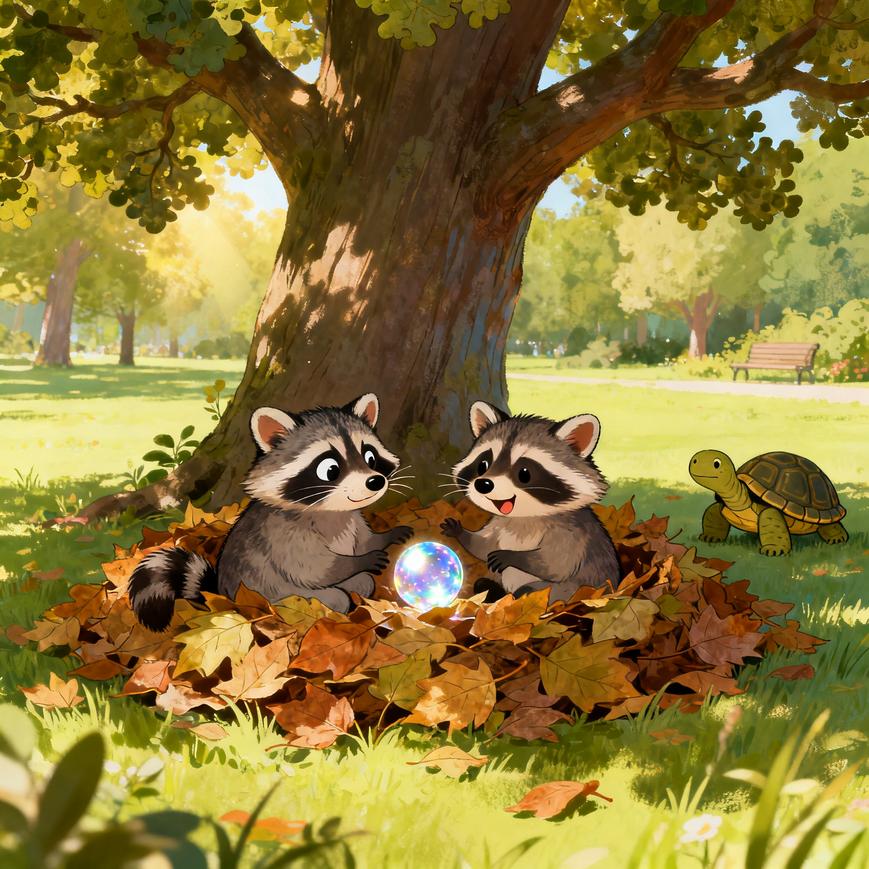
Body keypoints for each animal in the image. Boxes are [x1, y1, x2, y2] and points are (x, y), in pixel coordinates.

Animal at [129, 394, 412, 631]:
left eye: (370, 457)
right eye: (331, 469)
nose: (375, 482)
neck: (333, 510)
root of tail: (225, 592)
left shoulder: (354, 520)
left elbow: (363, 541)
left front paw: (384, 537)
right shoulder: (286, 535)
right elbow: (315, 568)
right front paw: (360, 560)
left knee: (364, 582)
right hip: (276, 594)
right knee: (333, 597)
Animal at [440, 401, 619, 603]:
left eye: (524, 473)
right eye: (483, 465)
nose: (483, 484)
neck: (523, 517)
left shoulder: (571, 533)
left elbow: (556, 564)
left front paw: (513, 556)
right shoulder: (498, 524)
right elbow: (483, 546)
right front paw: (460, 532)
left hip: (575, 589)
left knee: (532, 590)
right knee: (482, 584)